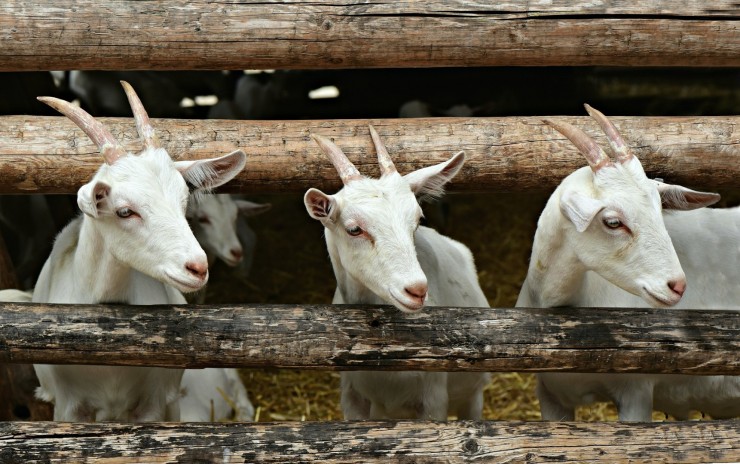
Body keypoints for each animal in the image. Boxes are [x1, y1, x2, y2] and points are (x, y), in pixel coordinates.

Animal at [304, 127, 490, 420]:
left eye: (418, 219)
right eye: (354, 229)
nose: (417, 290)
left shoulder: (433, 399)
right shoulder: (352, 396)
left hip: (473, 394)